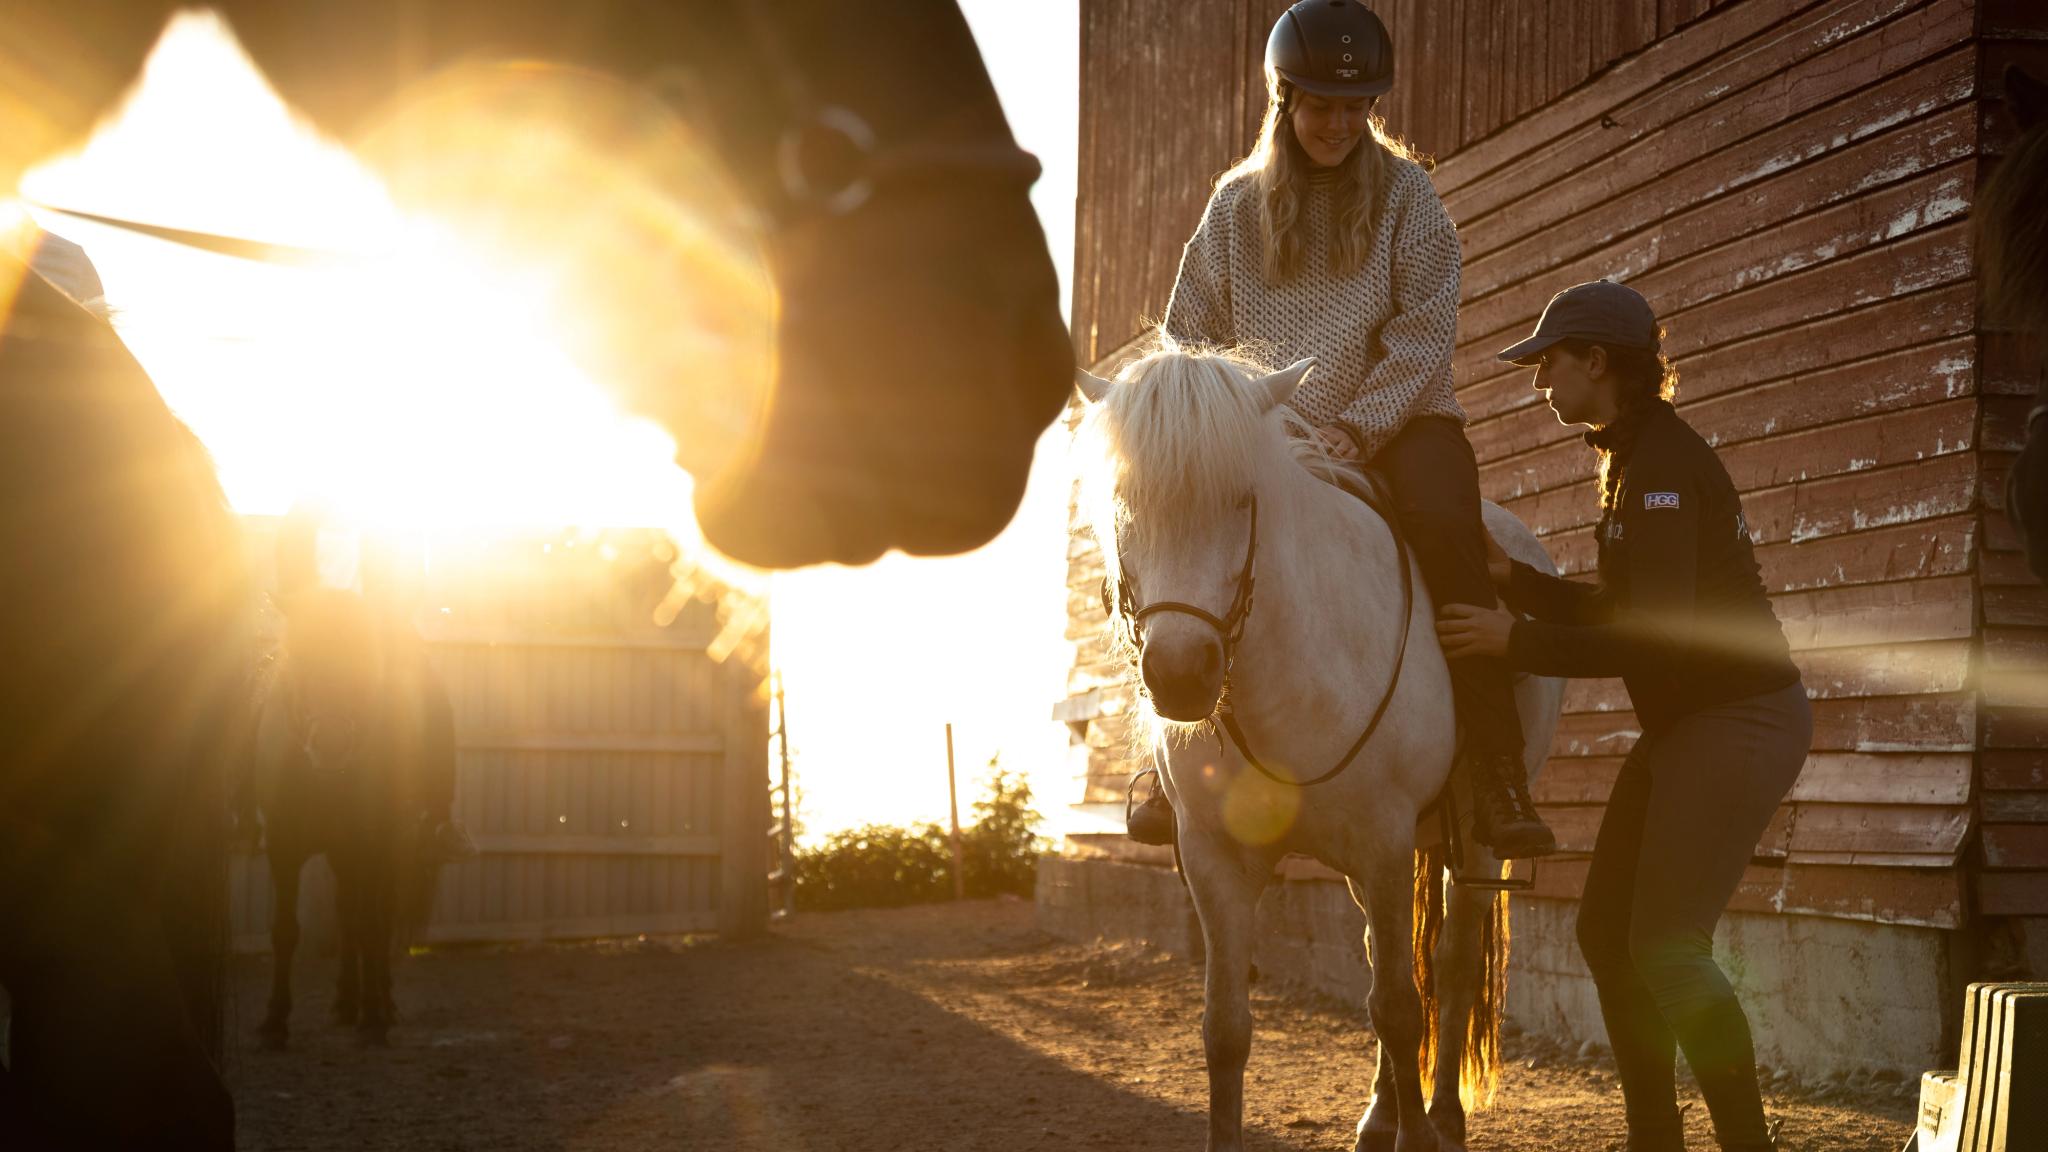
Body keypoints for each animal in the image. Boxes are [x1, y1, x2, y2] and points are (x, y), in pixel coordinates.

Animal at [246, 585, 457, 1048]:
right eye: (300, 655)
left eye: (368, 661)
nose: (331, 744)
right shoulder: (284, 848)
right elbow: (286, 929)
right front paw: (274, 1020)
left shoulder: (375, 844)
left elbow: (372, 925)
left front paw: (375, 1016)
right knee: (348, 913)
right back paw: (347, 1000)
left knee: (377, 914)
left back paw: (380, 1001)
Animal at [1073, 346, 1564, 1152]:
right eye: (1123, 502)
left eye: (1242, 500)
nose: (1180, 674)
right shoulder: (1217, 860)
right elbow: (1226, 1029)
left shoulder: (1384, 843)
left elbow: (1400, 1008)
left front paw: (1419, 1136)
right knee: (1390, 964)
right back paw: (1379, 1115)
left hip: (1471, 841)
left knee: (1451, 965)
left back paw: (1442, 1118)